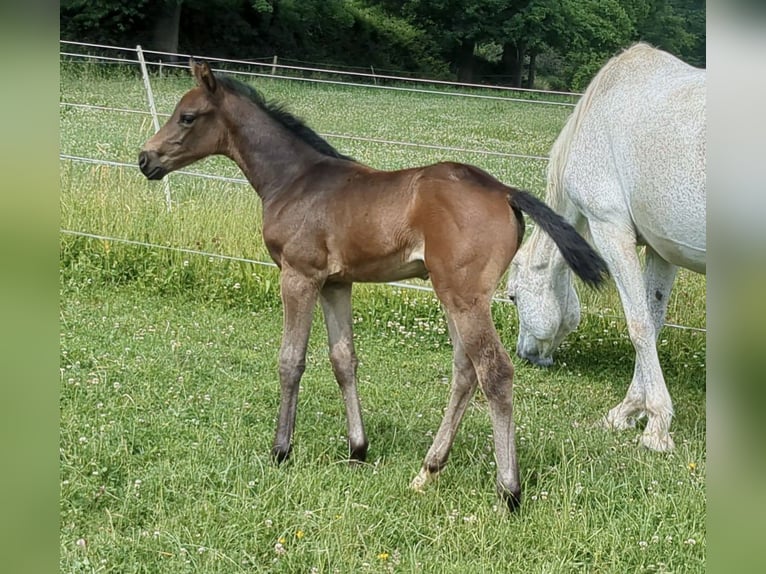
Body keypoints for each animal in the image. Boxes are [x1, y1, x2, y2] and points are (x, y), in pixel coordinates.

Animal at [139, 60, 608, 510]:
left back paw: (508, 491)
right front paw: (357, 450)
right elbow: (343, 360)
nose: (146, 159)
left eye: (187, 117)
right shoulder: (335, 284)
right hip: (453, 295)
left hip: (464, 297)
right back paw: (427, 471)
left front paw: (281, 450)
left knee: (494, 371)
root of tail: (505, 191)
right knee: (465, 371)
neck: (294, 180)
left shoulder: (299, 275)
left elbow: (291, 361)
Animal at [506, 43, 706, 452]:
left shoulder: (610, 228)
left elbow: (639, 325)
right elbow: (653, 320)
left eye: (513, 297)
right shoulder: (662, 250)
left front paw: (656, 425)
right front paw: (627, 411)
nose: (525, 354)